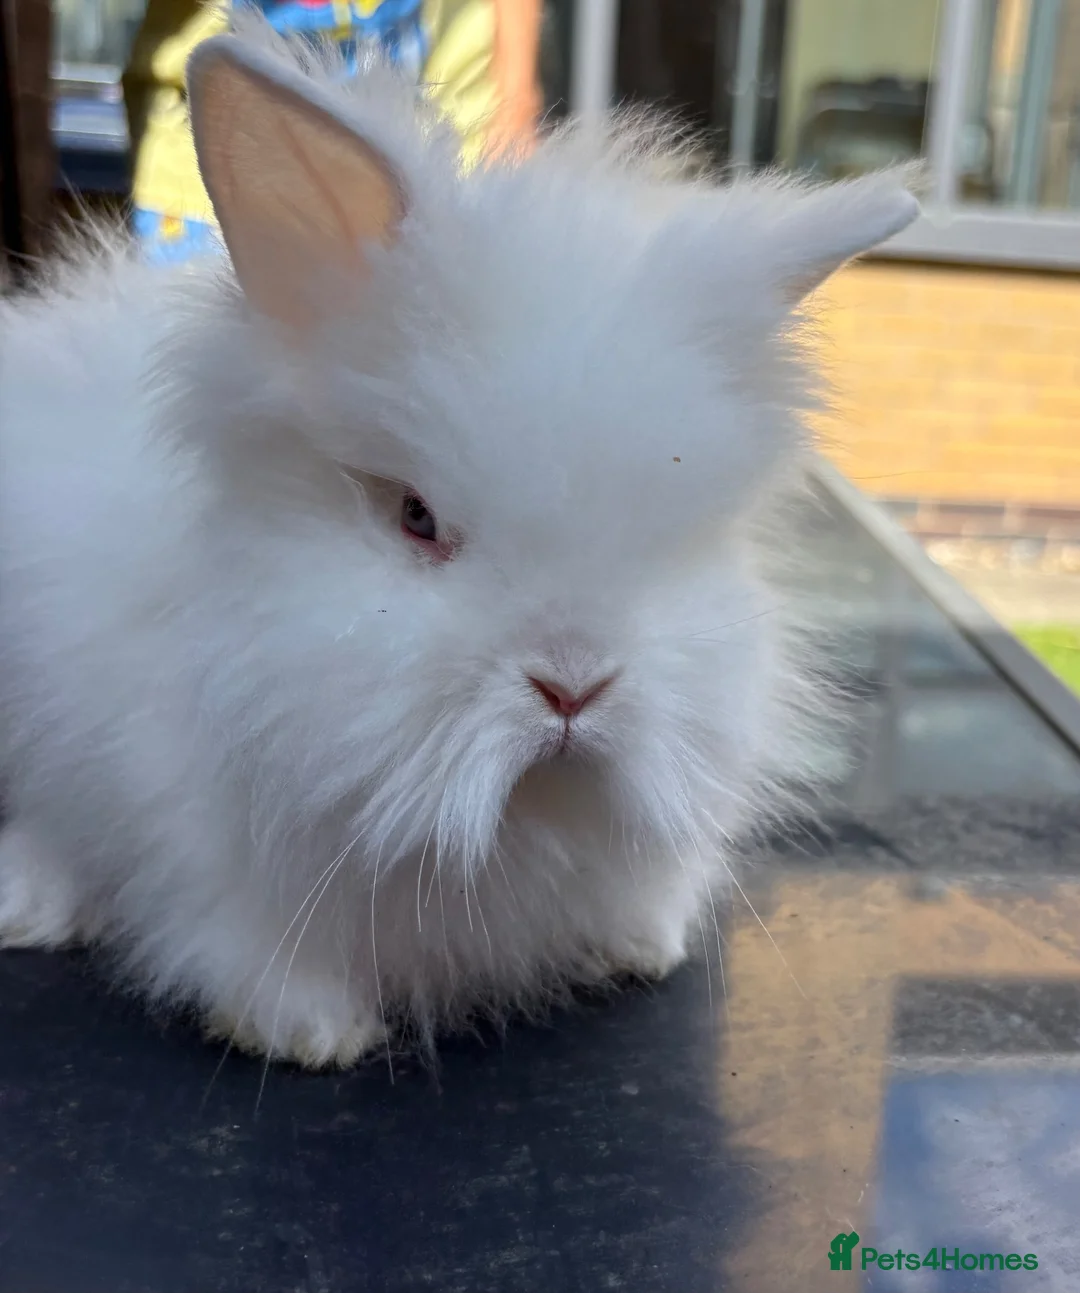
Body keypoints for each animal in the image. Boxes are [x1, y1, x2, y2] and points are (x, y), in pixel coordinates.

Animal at [0, 14, 919, 1068]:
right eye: (415, 516)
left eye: (675, 538)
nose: (574, 685)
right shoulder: (209, 862)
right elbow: (252, 948)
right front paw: (312, 1031)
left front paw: (641, 944)